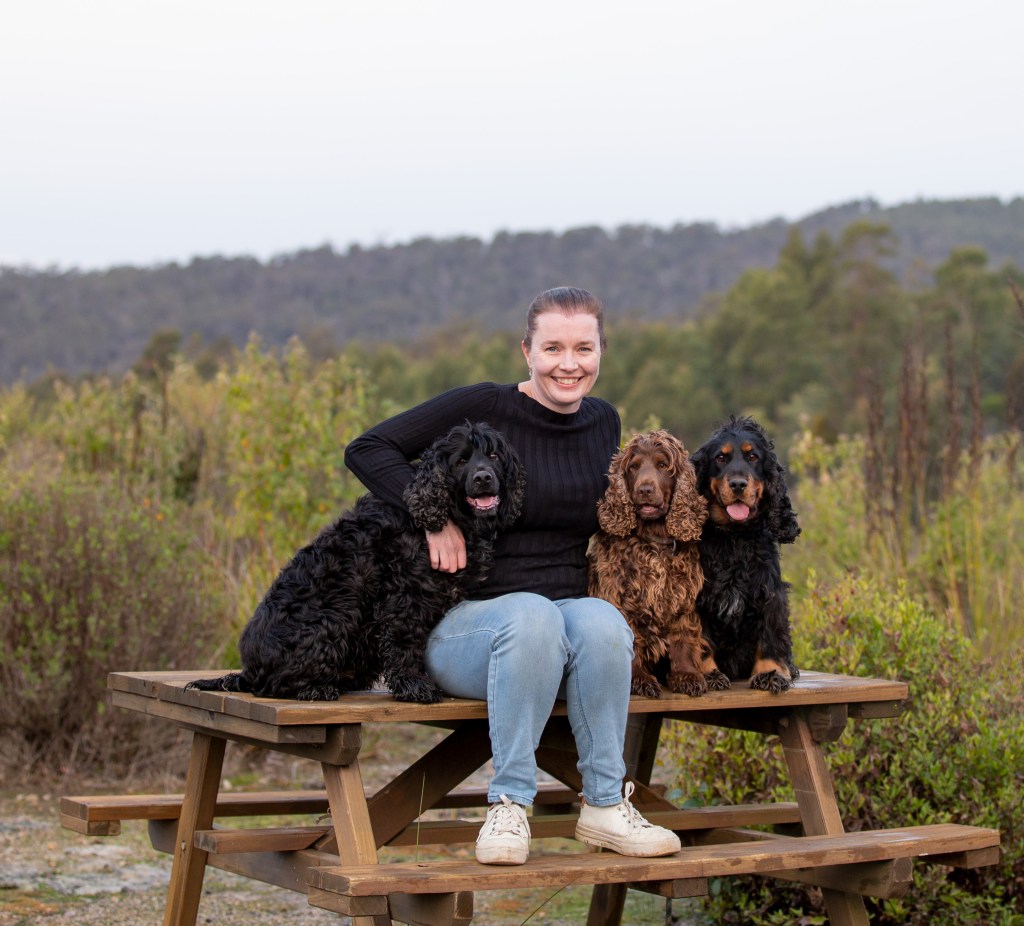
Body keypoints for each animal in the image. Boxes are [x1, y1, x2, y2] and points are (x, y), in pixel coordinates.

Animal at [186, 422, 525, 703]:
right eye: (460, 461)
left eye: (493, 455)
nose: (483, 478)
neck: (449, 516)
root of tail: (249, 670)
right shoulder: (405, 594)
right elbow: (404, 641)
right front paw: (414, 685)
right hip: (334, 617)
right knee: (275, 685)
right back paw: (316, 688)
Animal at [588, 430, 717, 697]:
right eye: (634, 467)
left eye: (663, 465)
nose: (645, 490)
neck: (654, 539)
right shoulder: (622, 596)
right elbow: (633, 641)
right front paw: (639, 679)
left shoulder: (682, 596)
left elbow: (683, 637)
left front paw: (686, 675)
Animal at [691, 415, 801, 694]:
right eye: (720, 458)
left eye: (753, 457)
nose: (738, 484)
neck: (734, 537)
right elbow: (700, 640)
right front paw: (707, 674)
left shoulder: (770, 593)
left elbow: (770, 635)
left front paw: (771, 673)